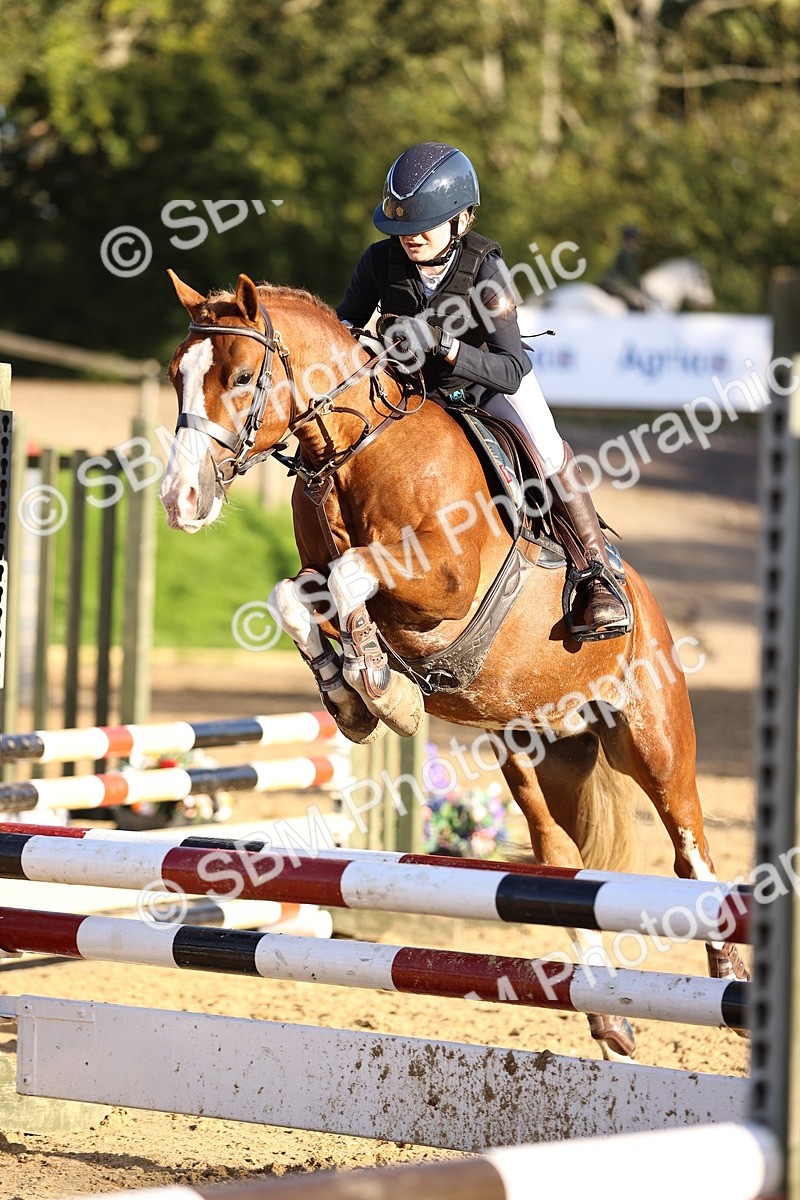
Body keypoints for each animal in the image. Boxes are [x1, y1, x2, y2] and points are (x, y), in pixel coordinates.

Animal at [159, 270, 748, 1061]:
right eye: (177, 375)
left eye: (244, 376)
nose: (180, 500)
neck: (357, 448)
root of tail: (651, 612)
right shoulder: (321, 574)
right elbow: (299, 593)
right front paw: (356, 696)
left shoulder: (441, 580)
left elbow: (352, 575)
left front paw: (383, 689)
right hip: (540, 755)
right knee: (561, 860)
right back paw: (608, 1018)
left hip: (653, 742)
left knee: (691, 853)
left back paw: (727, 980)